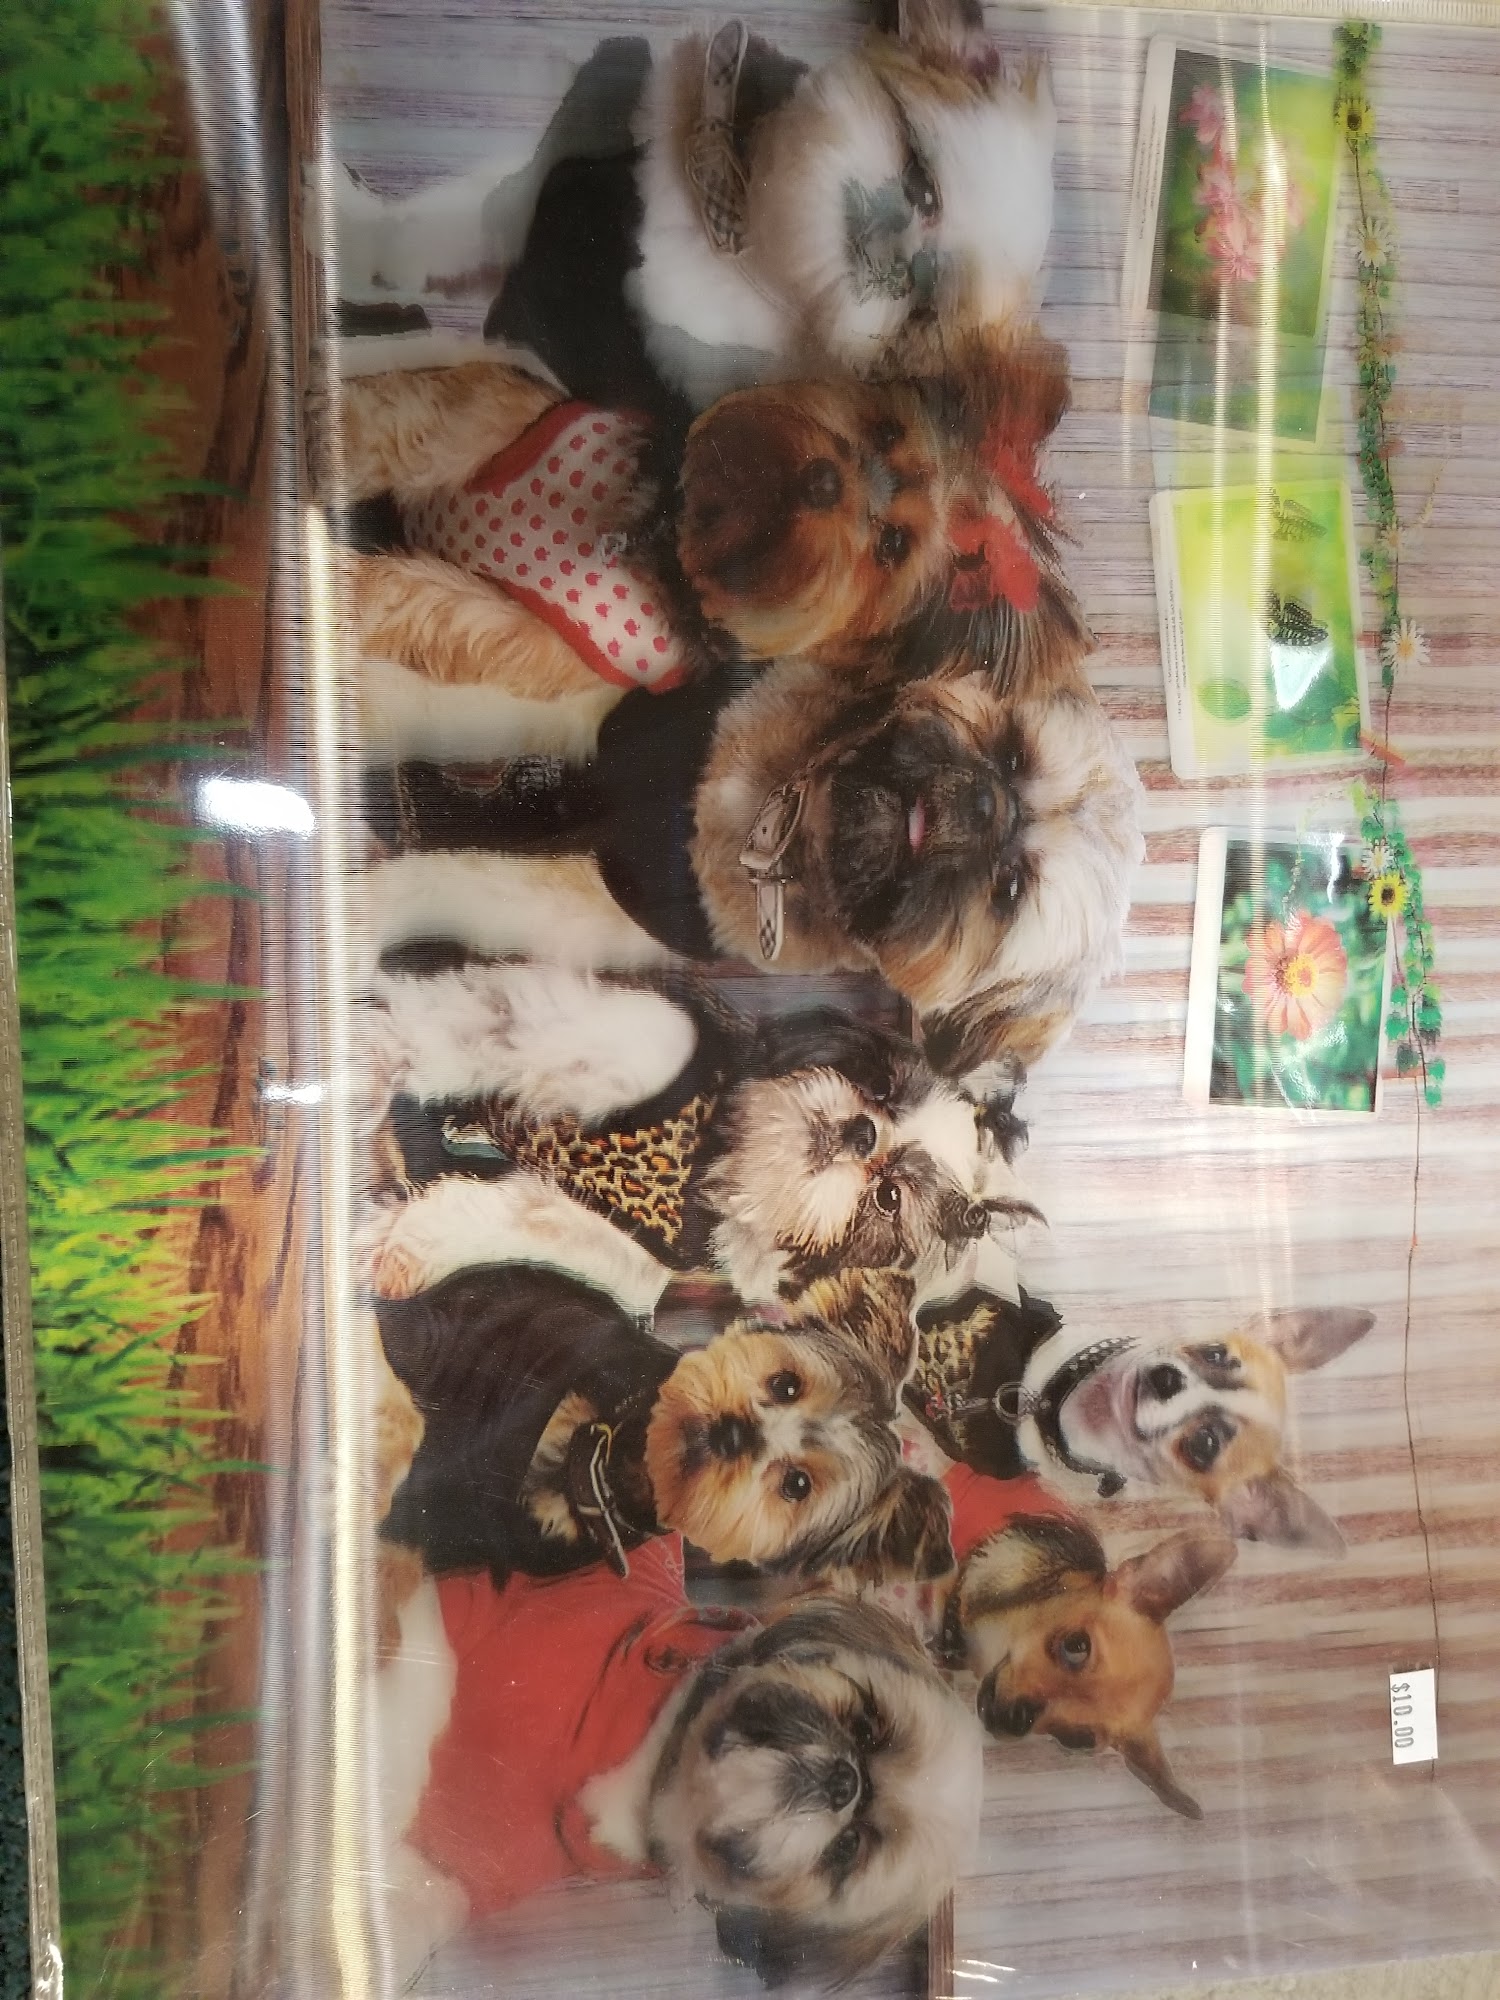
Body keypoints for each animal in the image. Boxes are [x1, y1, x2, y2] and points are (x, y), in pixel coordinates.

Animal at [333, 4, 1056, 409]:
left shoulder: (530, 331)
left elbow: (405, 343)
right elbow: (409, 235)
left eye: (920, 313)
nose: (900, 256)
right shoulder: (534, 193)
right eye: (922, 182)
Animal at [361, 955, 1039, 1304]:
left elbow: (523, 1225)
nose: (860, 1136)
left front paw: (413, 1248)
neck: (723, 1155)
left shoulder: (630, 1246)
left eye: (889, 1197)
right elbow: (653, 1042)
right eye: (880, 1093)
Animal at [362, 658, 1144, 1079]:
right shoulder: (602, 730)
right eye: (1013, 755)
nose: (986, 804)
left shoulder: (597, 903)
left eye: (1010, 889)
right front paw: (372, 692)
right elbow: (471, 710)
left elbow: (462, 879)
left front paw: (371, 903)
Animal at [376, 1553, 983, 1988]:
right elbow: (418, 1667)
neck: (655, 1765)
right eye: (867, 1726)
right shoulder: (472, 1613)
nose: (843, 1781)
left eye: (849, 1848)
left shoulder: (473, 1866)